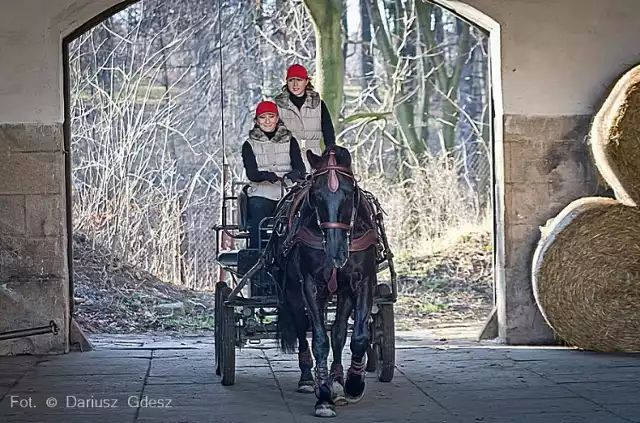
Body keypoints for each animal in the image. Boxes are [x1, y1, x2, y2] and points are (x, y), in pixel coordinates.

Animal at [266, 145, 380, 418]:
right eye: (316, 193)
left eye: (349, 192)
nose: (337, 253)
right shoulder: (310, 285)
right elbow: (319, 339)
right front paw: (324, 396)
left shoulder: (362, 283)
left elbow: (356, 336)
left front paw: (352, 383)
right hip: (292, 291)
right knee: (301, 327)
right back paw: (309, 379)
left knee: (338, 332)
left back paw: (337, 380)